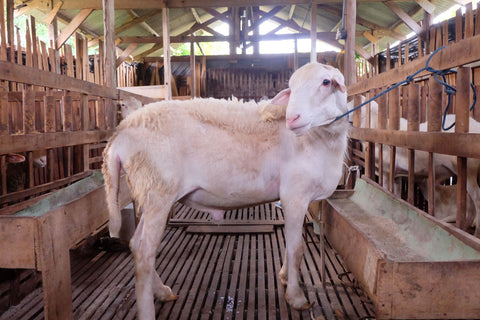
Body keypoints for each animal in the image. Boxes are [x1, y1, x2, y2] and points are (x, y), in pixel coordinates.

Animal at [102, 61, 348, 318]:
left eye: (326, 82)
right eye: (292, 87)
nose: (292, 118)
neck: (316, 140)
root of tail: (120, 133)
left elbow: (290, 243)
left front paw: (282, 275)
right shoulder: (295, 195)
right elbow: (296, 248)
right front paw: (296, 297)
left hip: (151, 196)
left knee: (136, 244)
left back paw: (162, 291)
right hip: (158, 192)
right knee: (145, 254)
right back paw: (148, 309)